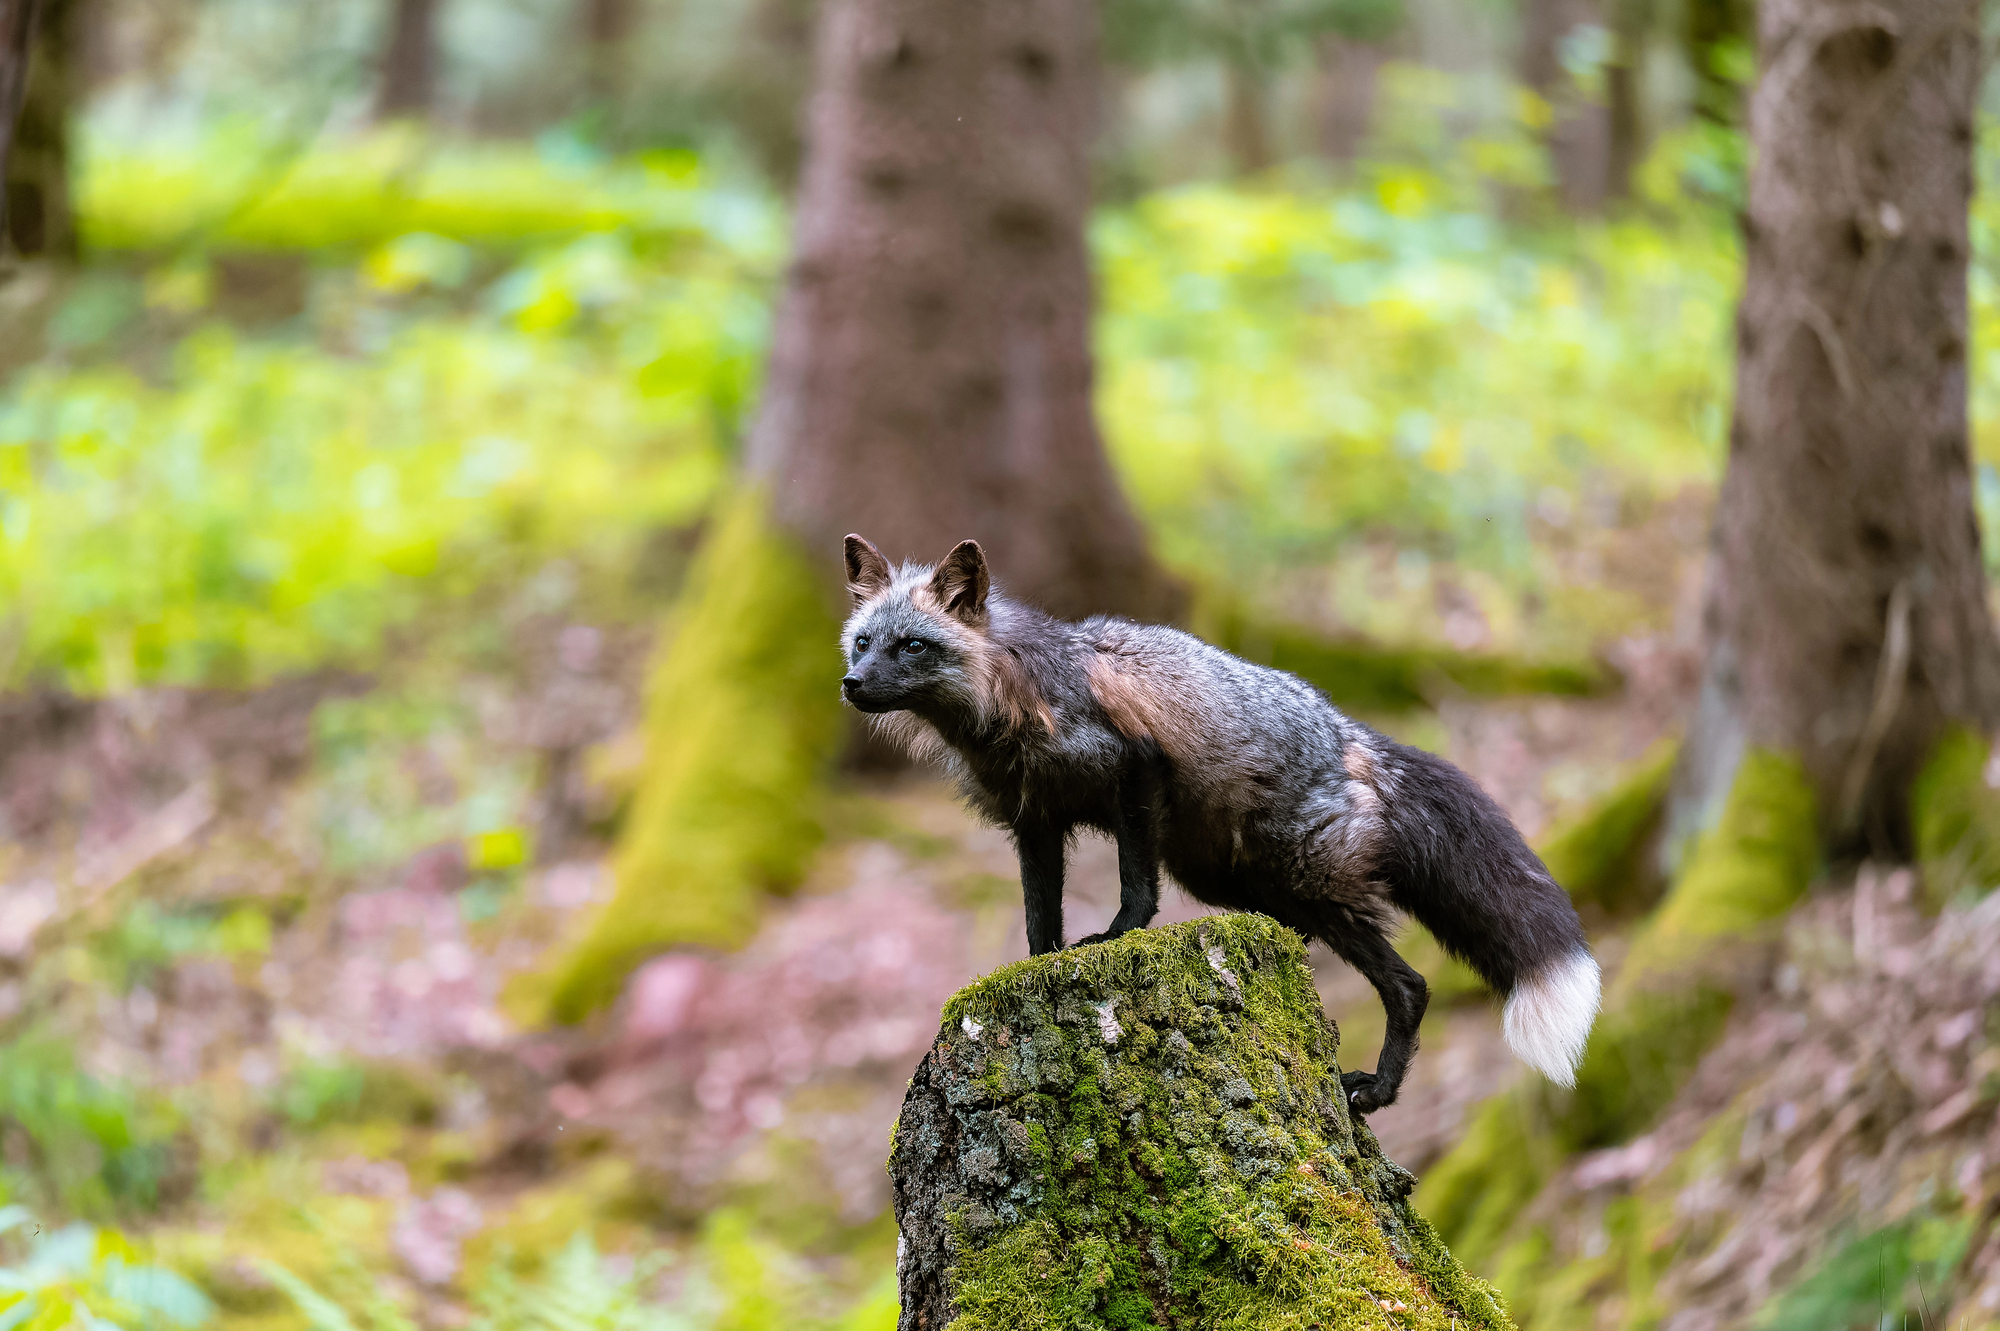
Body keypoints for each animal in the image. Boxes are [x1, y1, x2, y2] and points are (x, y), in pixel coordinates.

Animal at [836, 534, 1601, 1113]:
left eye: (911, 646)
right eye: (862, 643)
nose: (850, 684)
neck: (1014, 698)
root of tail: (1352, 736)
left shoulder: (1134, 768)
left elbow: (1134, 887)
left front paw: (1114, 934)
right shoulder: (1035, 821)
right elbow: (1037, 918)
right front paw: (1043, 962)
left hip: (1302, 881)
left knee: (1410, 986)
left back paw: (1378, 1090)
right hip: (1235, 882)